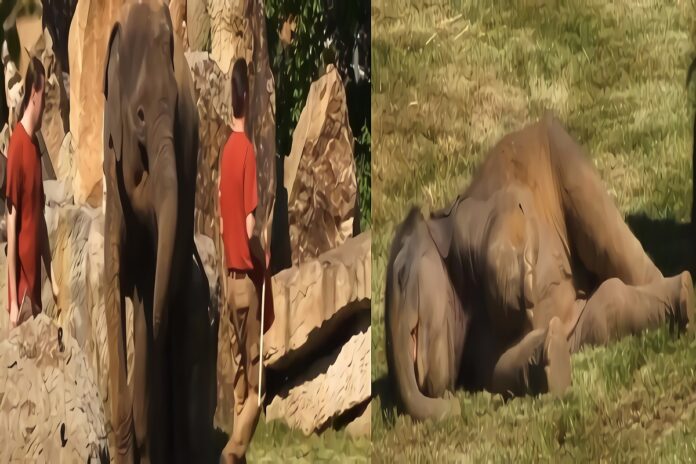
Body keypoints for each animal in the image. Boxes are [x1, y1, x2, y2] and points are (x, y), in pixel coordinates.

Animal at [385, 113, 695, 421]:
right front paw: (549, 351)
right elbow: (499, 366)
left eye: (401, 275)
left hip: (564, 161)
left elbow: (506, 221)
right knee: (607, 305)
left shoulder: (476, 218)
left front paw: (529, 291)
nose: (453, 405)